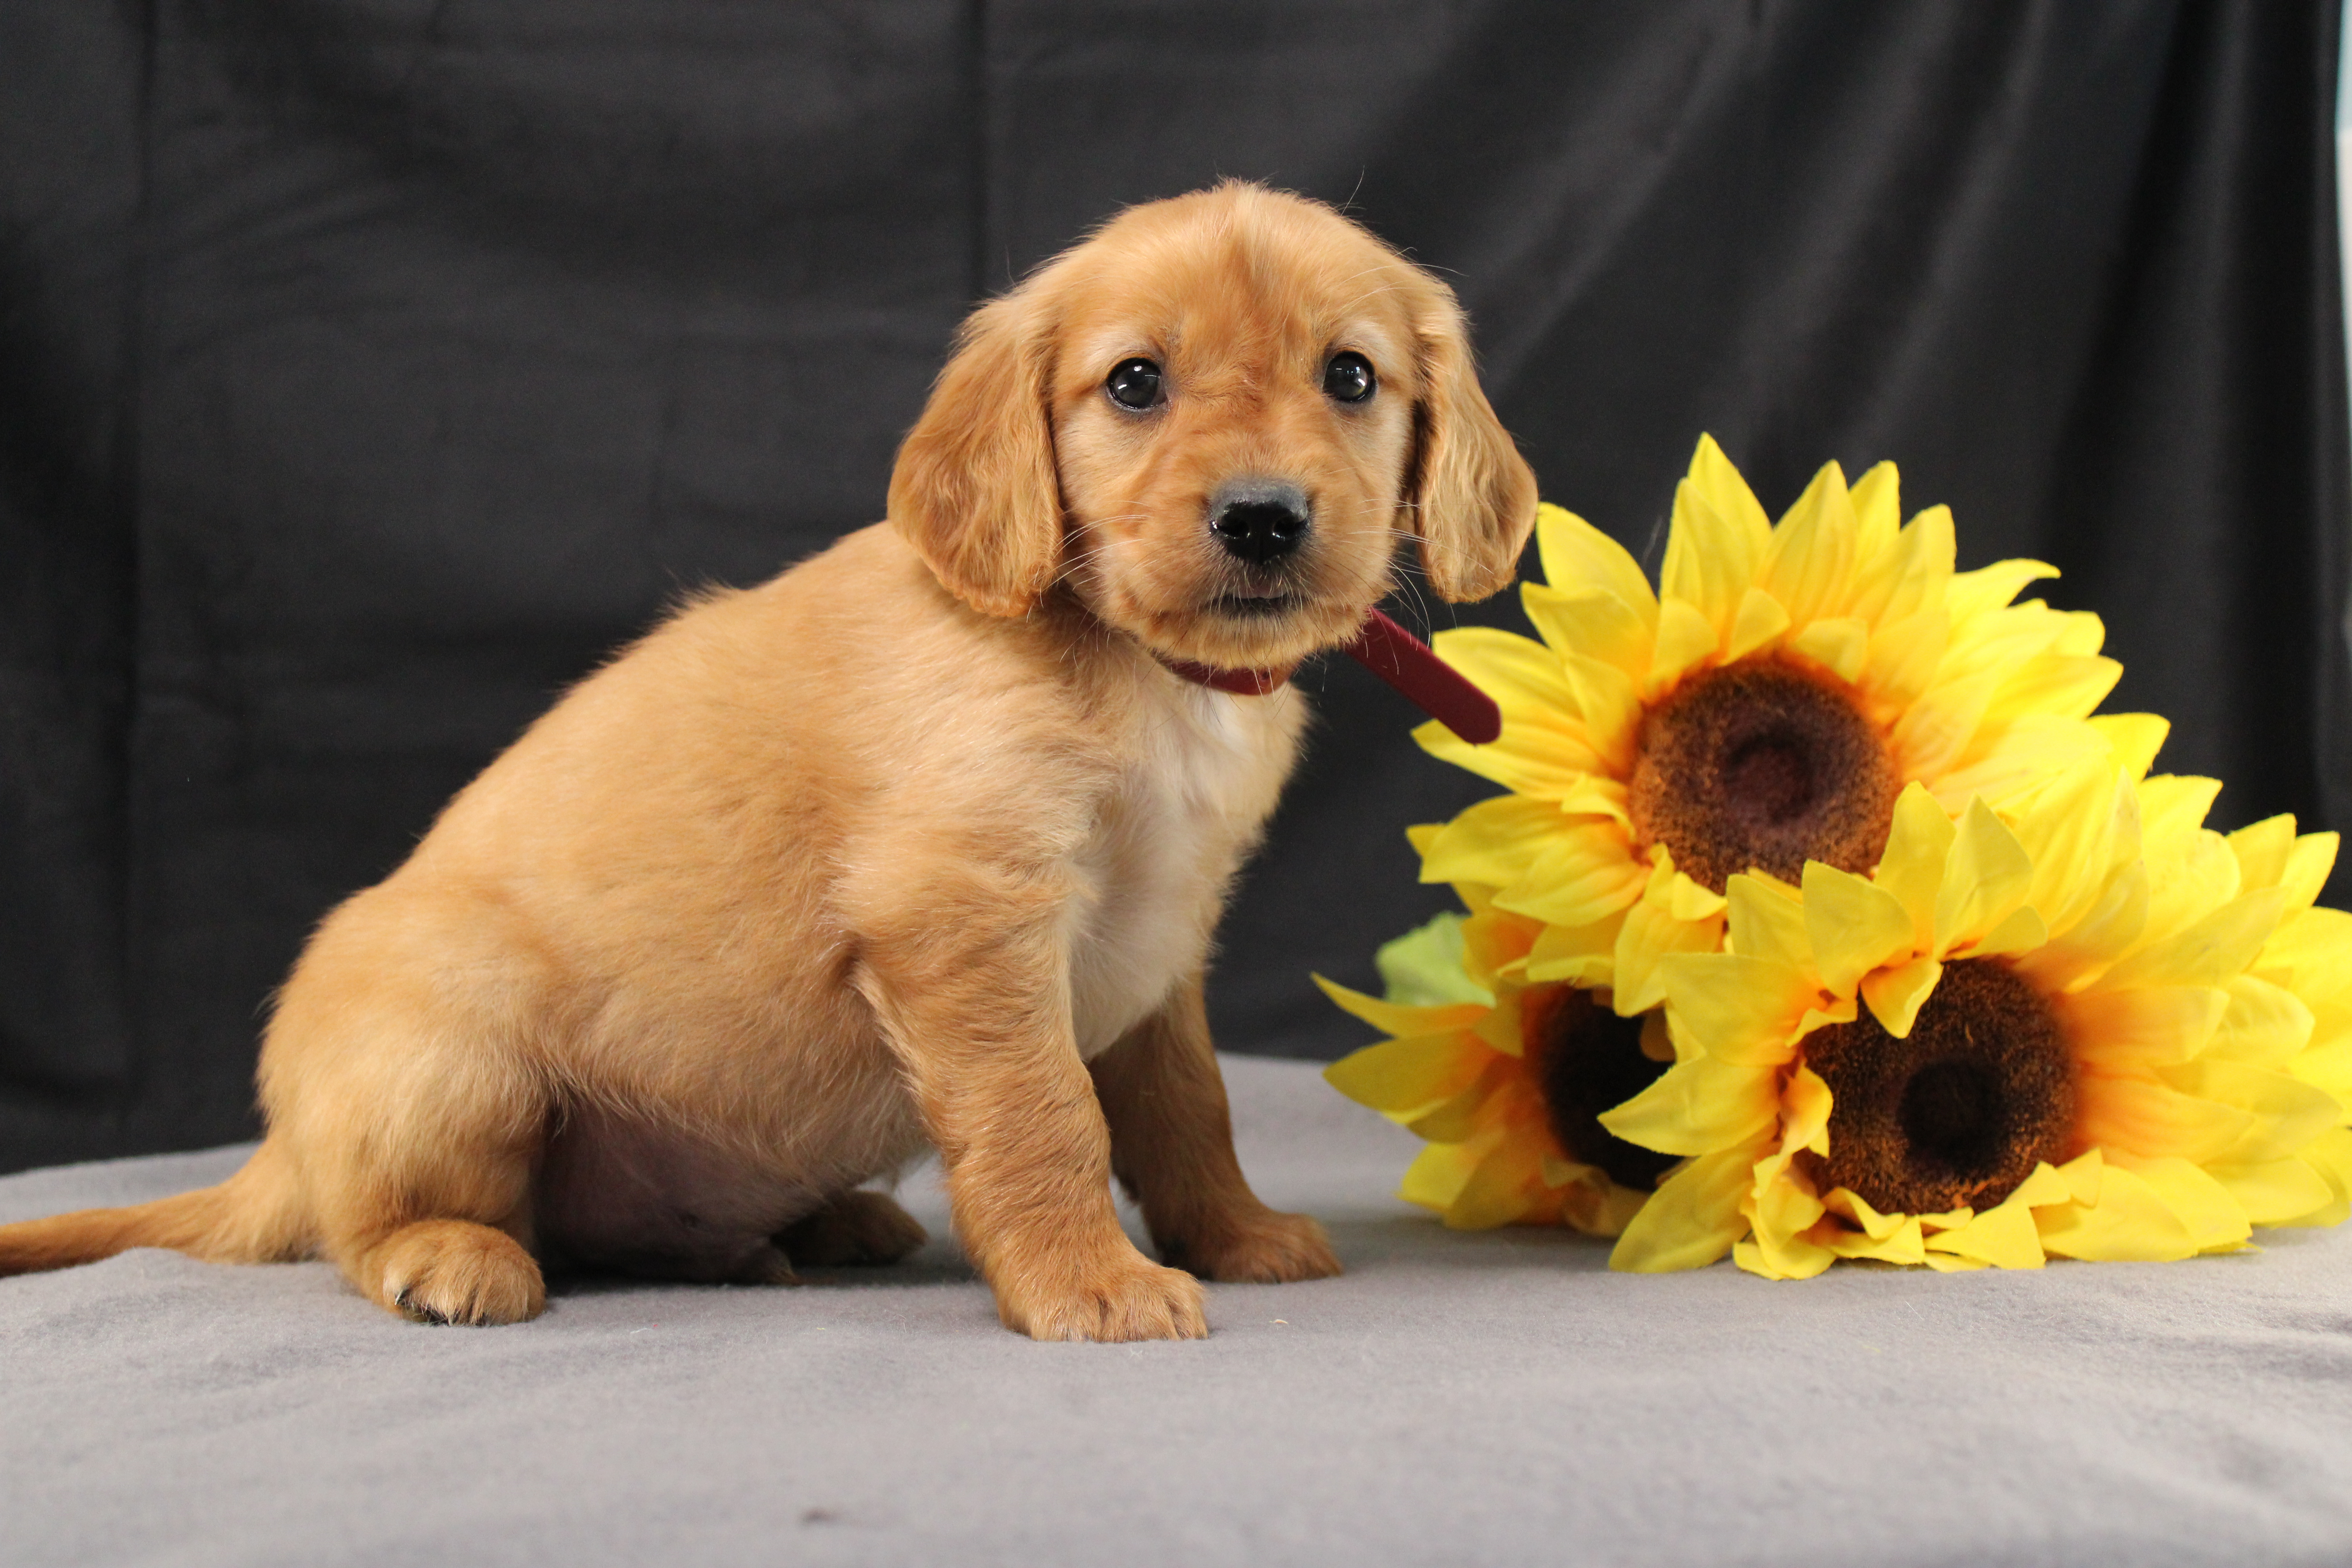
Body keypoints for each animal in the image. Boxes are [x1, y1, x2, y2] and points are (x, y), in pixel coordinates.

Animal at [0, 181, 1534, 1335]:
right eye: (1136, 384)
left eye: (1351, 376)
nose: (1263, 519)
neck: (1144, 671)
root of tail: (283, 1148)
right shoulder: (967, 916)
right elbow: (1047, 1119)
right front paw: (1087, 1284)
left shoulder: (1159, 948)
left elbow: (1186, 1108)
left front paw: (1237, 1232)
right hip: (453, 1052)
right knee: (366, 1221)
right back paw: (450, 1257)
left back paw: (821, 1222)